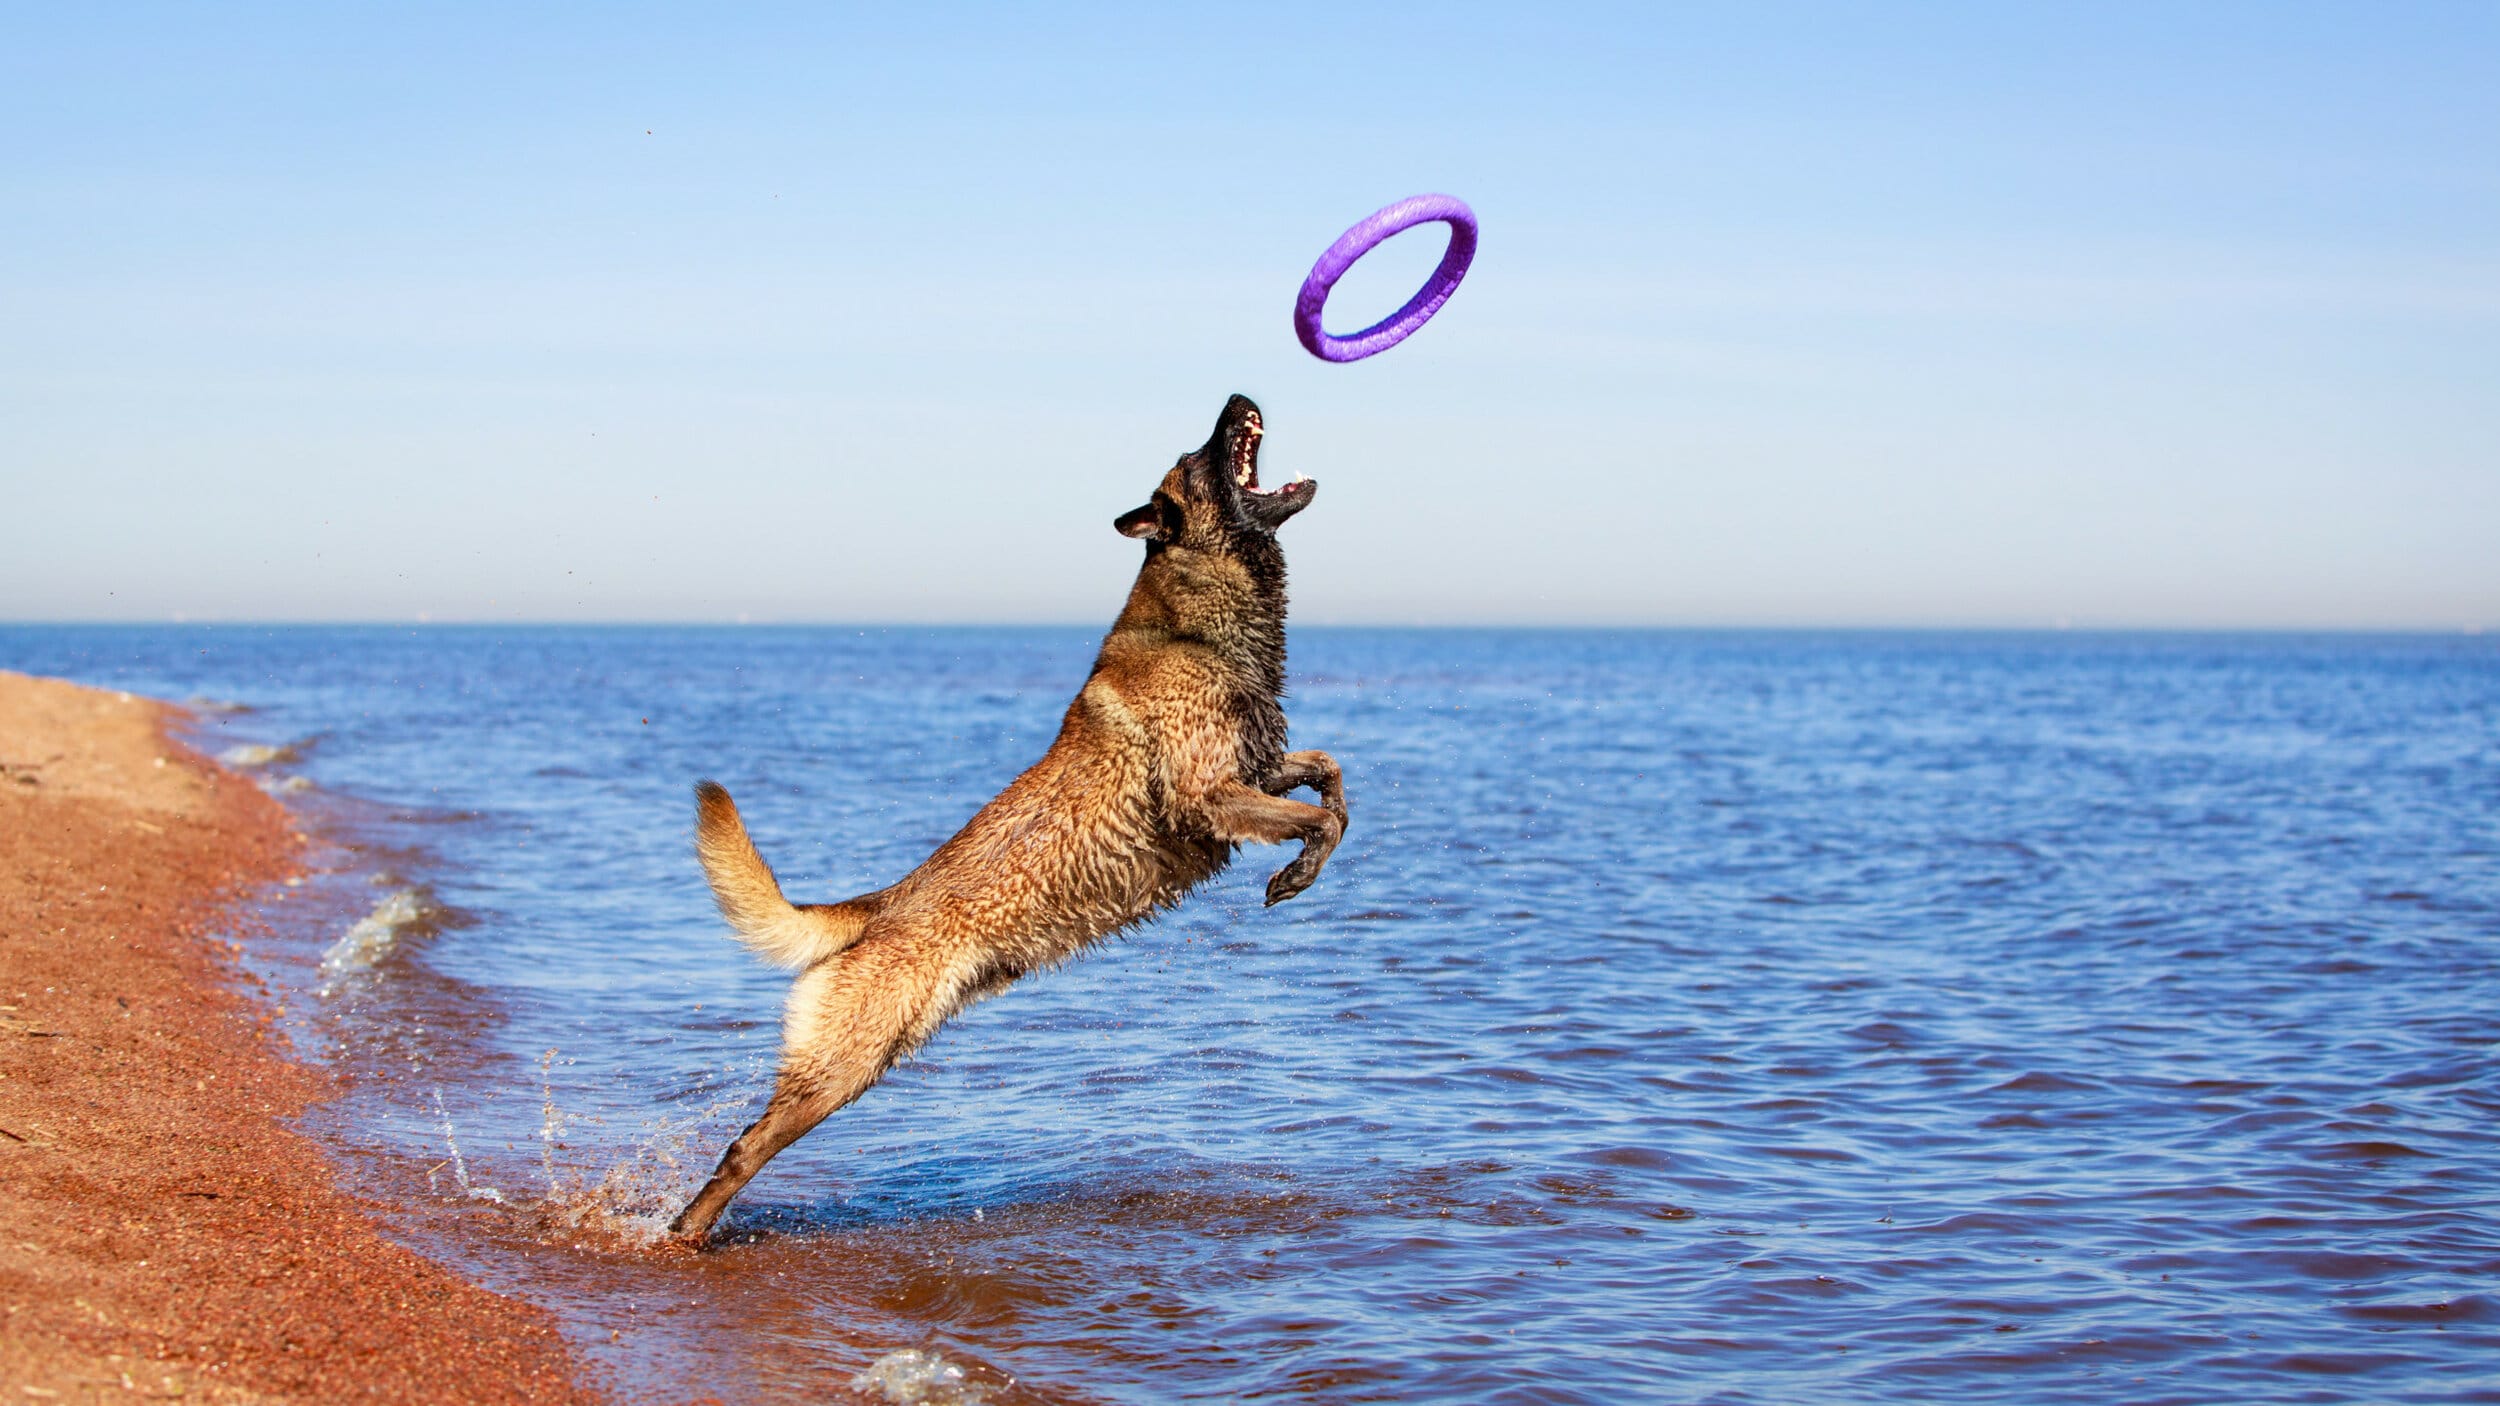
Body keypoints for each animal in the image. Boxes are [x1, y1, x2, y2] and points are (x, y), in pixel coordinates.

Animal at [670, 395, 1350, 1235]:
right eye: (1198, 457)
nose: (1235, 398)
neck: (1195, 621)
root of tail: (879, 905)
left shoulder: (1254, 770)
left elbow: (1332, 777)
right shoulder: (1208, 795)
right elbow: (1320, 821)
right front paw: (1297, 875)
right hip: (844, 1065)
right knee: (741, 1152)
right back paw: (686, 1232)